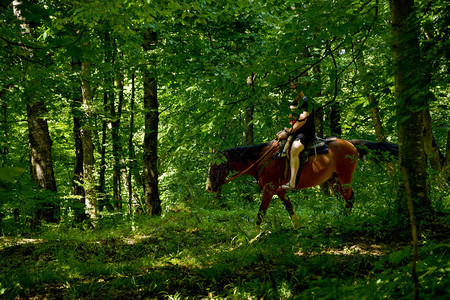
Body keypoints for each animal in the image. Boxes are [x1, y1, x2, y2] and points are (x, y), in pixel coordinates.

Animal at [205, 139, 398, 227]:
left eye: (216, 166)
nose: (209, 187)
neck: (262, 159)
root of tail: (351, 143)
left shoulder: (269, 190)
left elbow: (260, 213)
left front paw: (254, 235)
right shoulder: (280, 191)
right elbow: (290, 209)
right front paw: (298, 228)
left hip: (345, 177)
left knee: (350, 198)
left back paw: (346, 220)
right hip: (334, 179)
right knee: (348, 197)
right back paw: (343, 217)